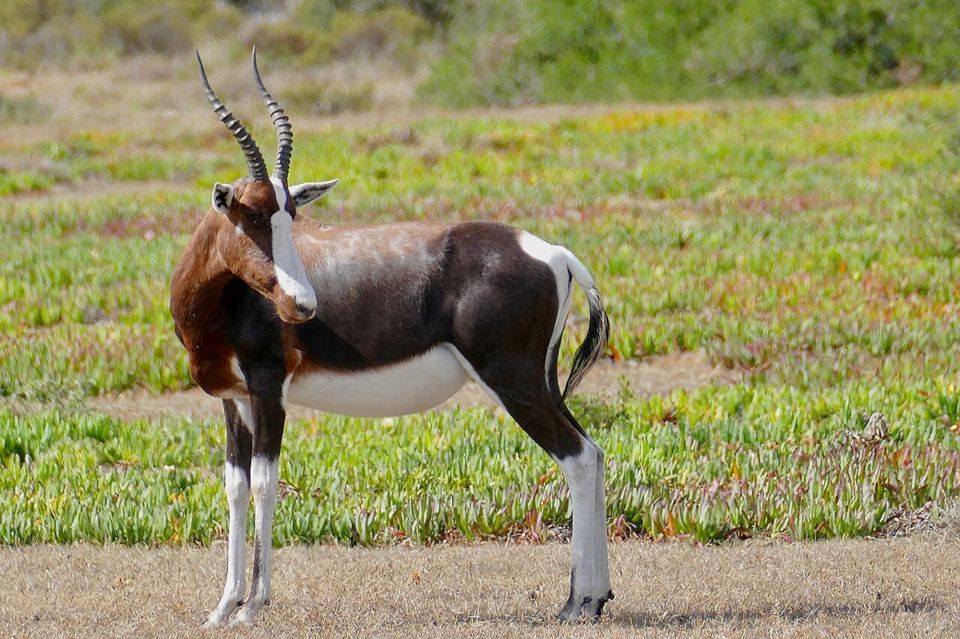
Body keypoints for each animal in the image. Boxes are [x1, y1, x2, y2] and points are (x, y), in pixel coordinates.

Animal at [171, 49, 613, 627]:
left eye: (291, 213)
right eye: (250, 214)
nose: (303, 304)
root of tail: (555, 253)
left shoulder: (269, 389)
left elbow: (266, 484)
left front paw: (253, 608)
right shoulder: (234, 400)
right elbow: (236, 488)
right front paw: (223, 607)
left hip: (512, 381)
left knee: (577, 457)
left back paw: (577, 604)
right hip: (544, 381)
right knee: (594, 452)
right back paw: (596, 597)